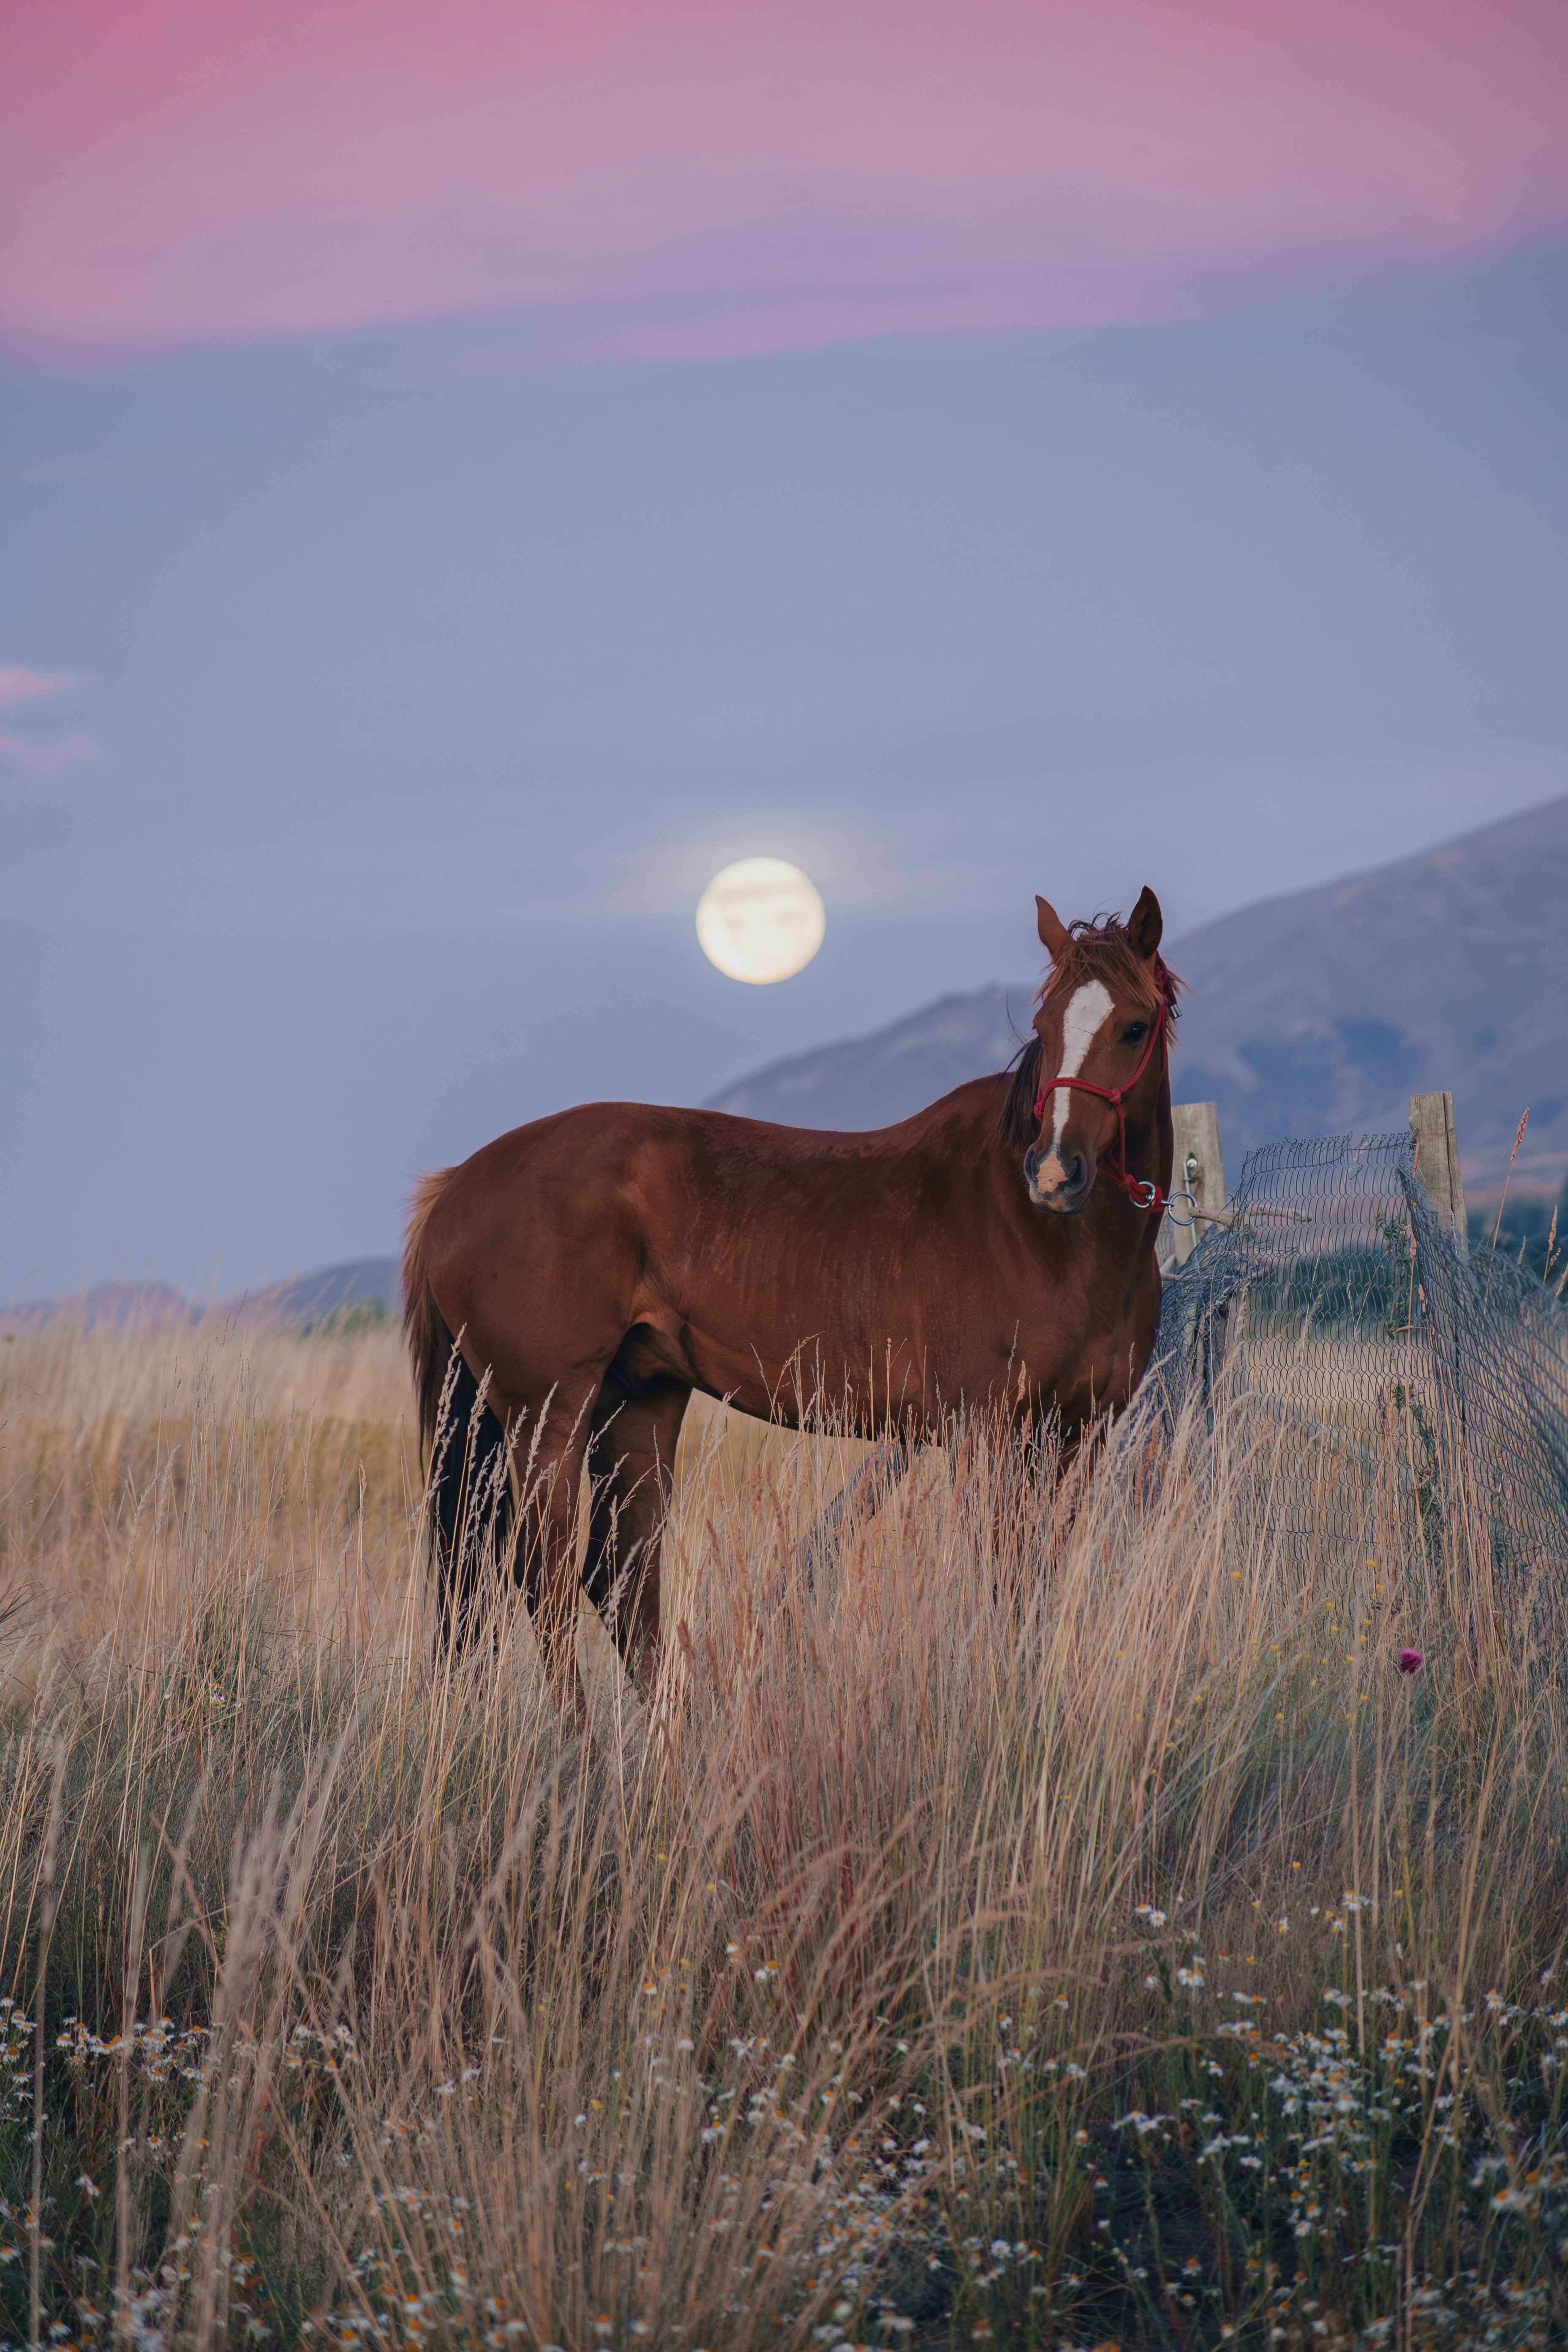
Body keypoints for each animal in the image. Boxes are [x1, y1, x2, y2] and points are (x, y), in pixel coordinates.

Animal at [403, 884, 1180, 1716]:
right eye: (1042, 1028)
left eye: (1133, 1027)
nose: (1054, 1172)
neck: (1045, 1237)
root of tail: (458, 1184)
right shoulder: (988, 1433)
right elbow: (1003, 1578)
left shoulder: (1081, 1434)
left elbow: (1042, 1577)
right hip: (546, 1415)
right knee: (539, 1578)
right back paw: (582, 1742)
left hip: (636, 1402)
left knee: (616, 1580)